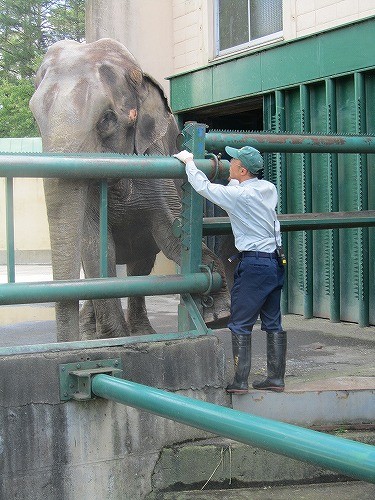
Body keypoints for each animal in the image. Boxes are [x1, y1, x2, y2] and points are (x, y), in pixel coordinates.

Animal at [29, 38, 231, 344]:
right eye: (36, 117)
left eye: (107, 119)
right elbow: (96, 248)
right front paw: (113, 340)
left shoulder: (156, 161)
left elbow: (171, 233)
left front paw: (218, 312)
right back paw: (93, 334)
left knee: (142, 264)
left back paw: (140, 332)